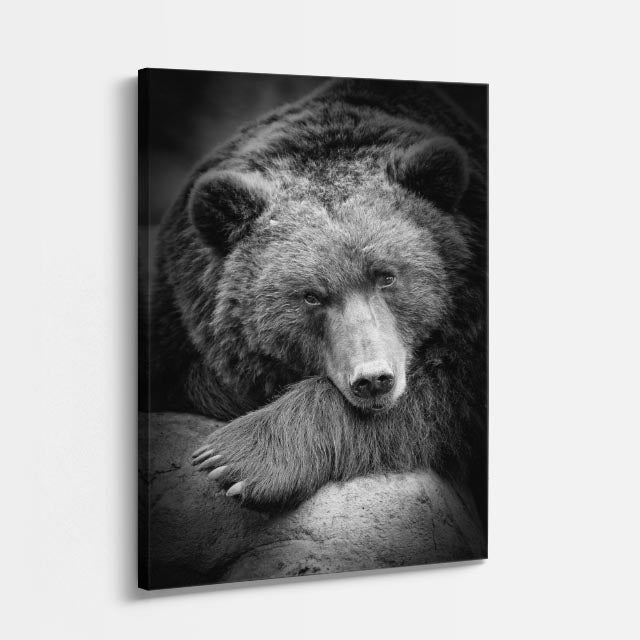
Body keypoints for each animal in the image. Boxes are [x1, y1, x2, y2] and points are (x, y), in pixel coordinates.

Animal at [147, 78, 487, 525]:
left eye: (387, 276)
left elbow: (442, 391)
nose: (373, 379)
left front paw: (237, 457)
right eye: (311, 296)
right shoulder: (174, 312)